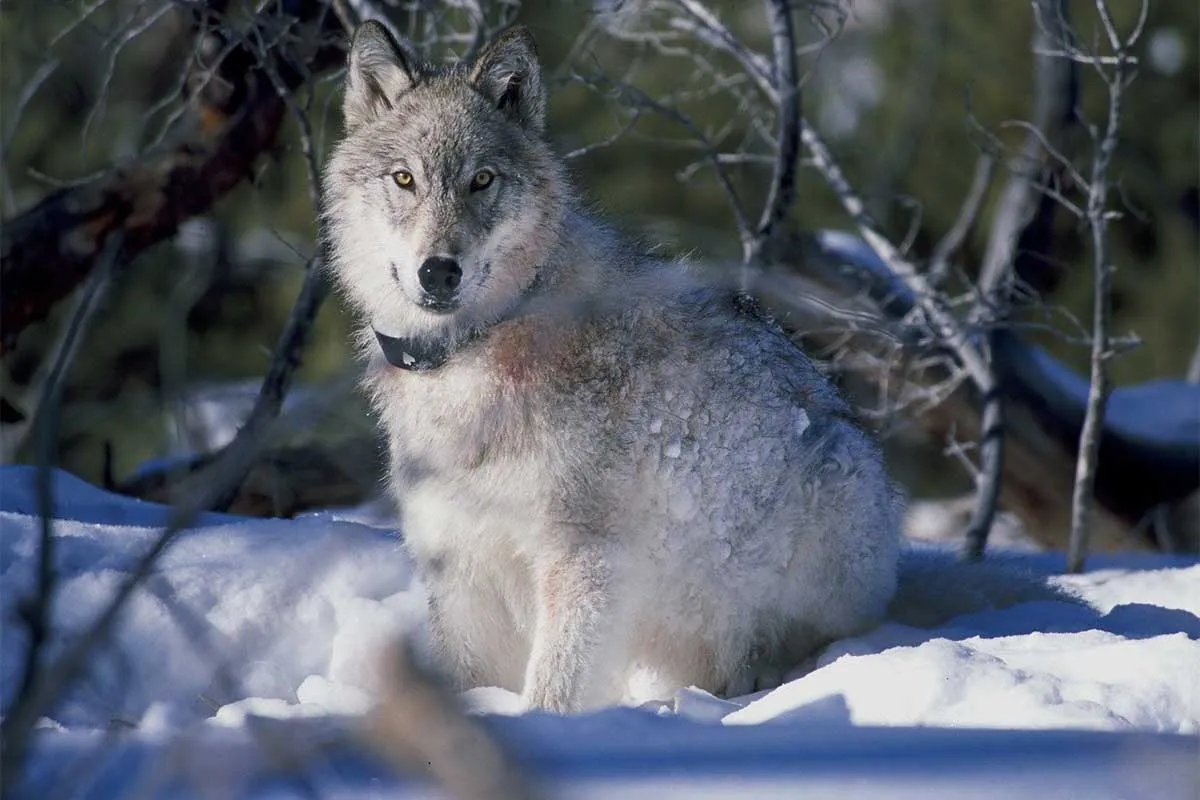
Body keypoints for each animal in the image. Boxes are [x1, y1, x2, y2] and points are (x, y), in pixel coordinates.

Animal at [321, 21, 1060, 714]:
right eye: (405, 178)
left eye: (482, 180)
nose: (439, 271)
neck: (475, 350)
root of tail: (894, 575)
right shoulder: (462, 570)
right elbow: (470, 682)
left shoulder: (583, 561)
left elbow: (554, 689)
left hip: (822, 497)